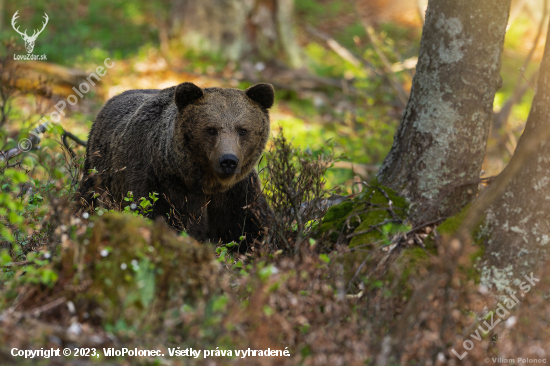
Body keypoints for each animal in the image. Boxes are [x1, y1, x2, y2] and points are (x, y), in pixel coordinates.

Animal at [77, 81, 276, 250]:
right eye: (211, 129)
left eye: (243, 130)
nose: (228, 161)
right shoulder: (163, 184)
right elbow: (165, 218)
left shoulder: (238, 193)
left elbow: (252, 227)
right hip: (99, 172)